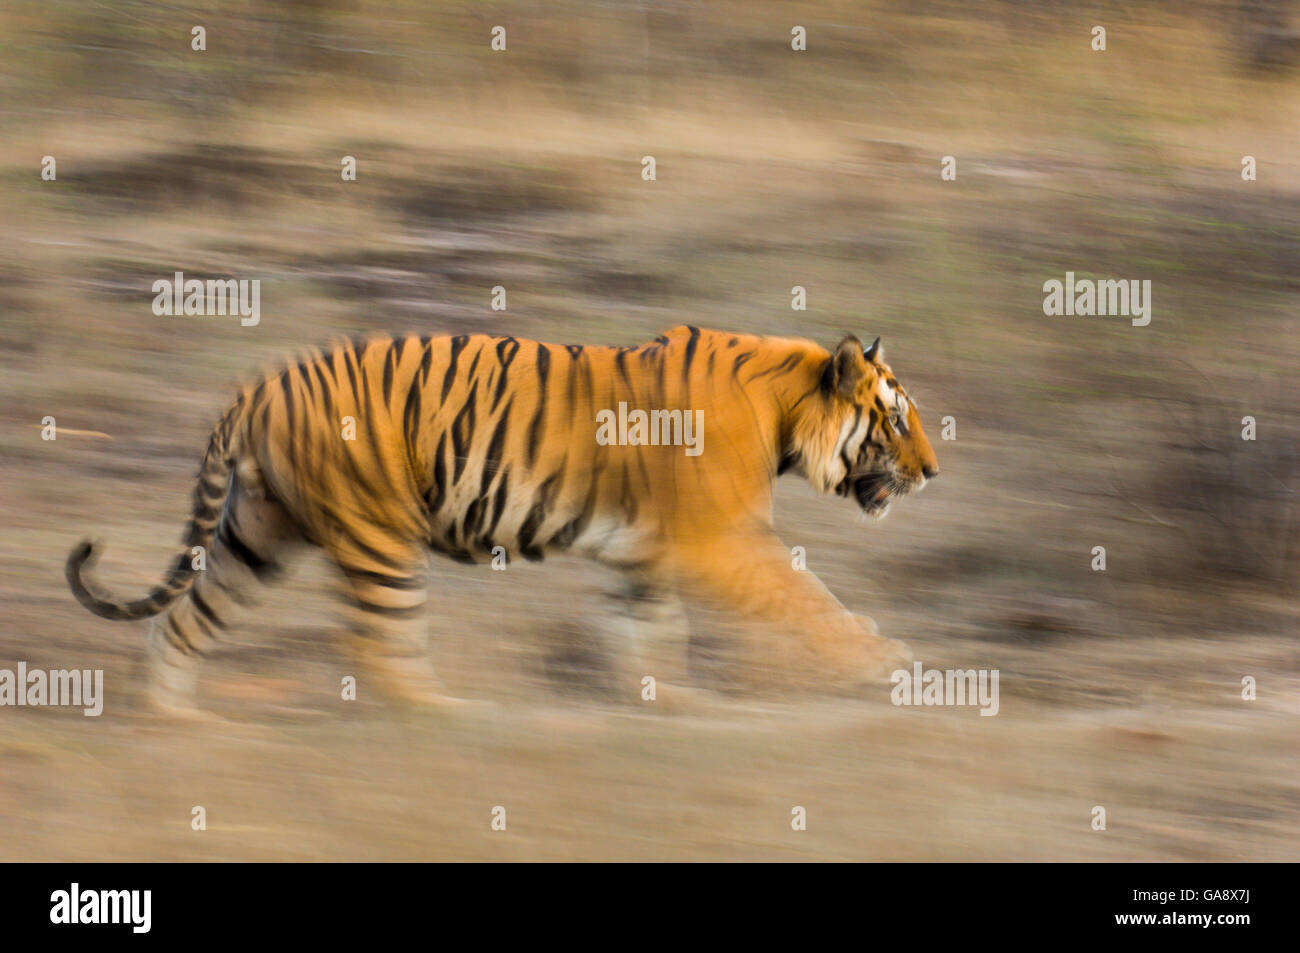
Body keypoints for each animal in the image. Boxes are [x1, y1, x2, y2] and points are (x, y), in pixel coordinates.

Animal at [68, 323, 935, 712]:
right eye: (896, 420)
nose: (933, 470)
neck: (787, 411)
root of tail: (257, 385)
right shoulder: (718, 543)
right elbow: (812, 603)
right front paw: (891, 663)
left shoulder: (644, 553)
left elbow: (651, 636)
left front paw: (673, 707)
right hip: (379, 535)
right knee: (384, 653)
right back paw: (461, 721)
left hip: (260, 532)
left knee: (183, 623)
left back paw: (177, 727)